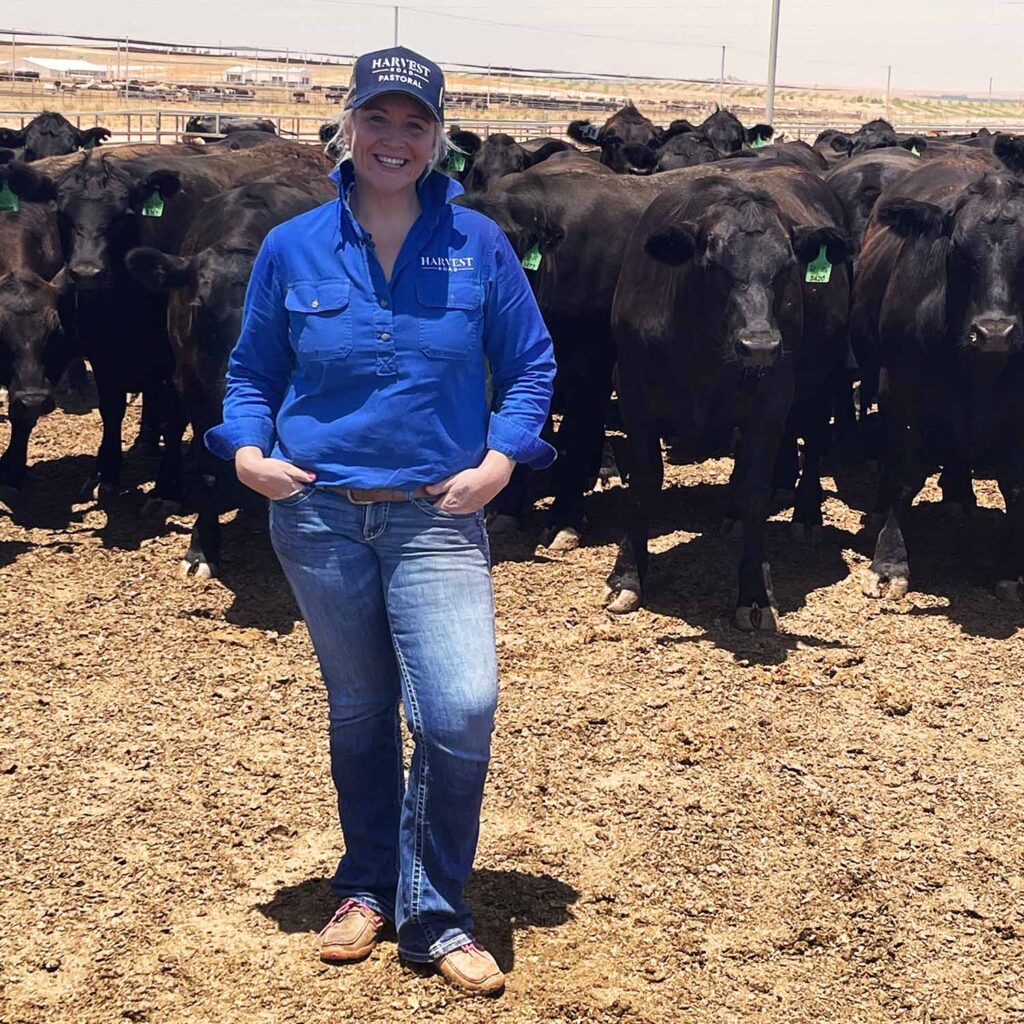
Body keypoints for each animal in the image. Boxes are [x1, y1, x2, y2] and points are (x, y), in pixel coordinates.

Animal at [602, 169, 851, 622]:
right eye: (713, 264)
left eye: (787, 266)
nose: (759, 346)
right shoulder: (632, 391)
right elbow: (644, 485)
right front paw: (628, 576)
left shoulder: (771, 397)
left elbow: (755, 488)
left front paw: (753, 594)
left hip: (825, 377)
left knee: (813, 440)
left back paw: (806, 515)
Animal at [851, 136, 1024, 598]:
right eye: (957, 249)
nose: (995, 332)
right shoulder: (900, 386)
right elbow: (902, 473)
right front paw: (889, 563)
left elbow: (1016, 485)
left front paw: (1011, 571)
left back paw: (960, 494)